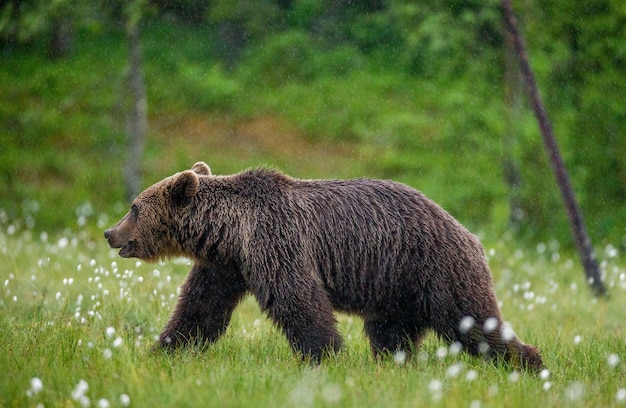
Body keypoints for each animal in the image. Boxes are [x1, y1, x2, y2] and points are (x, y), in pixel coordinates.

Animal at [103, 162, 540, 370]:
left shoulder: (275, 240)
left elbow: (298, 300)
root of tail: (470, 233)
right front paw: (163, 348)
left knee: (471, 322)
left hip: (436, 269)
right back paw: (392, 364)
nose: (110, 233)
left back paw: (527, 362)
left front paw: (324, 355)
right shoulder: (227, 266)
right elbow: (200, 309)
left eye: (134, 208)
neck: (229, 233)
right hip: (395, 288)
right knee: (391, 332)